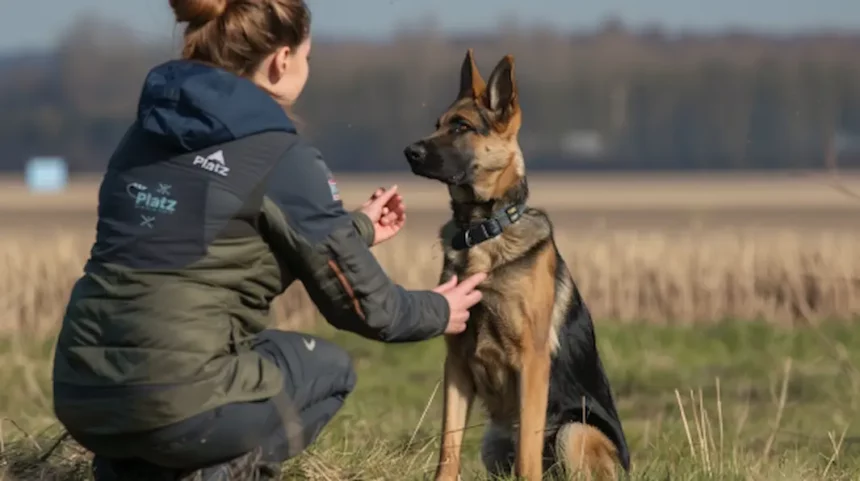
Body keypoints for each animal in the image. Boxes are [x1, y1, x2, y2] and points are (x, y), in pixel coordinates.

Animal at [404, 50, 632, 478]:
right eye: (438, 124)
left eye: (461, 127)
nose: (409, 152)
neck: (481, 231)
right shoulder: (456, 364)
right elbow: (449, 445)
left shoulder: (532, 362)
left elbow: (528, 449)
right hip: (494, 442)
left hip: (573, 432)